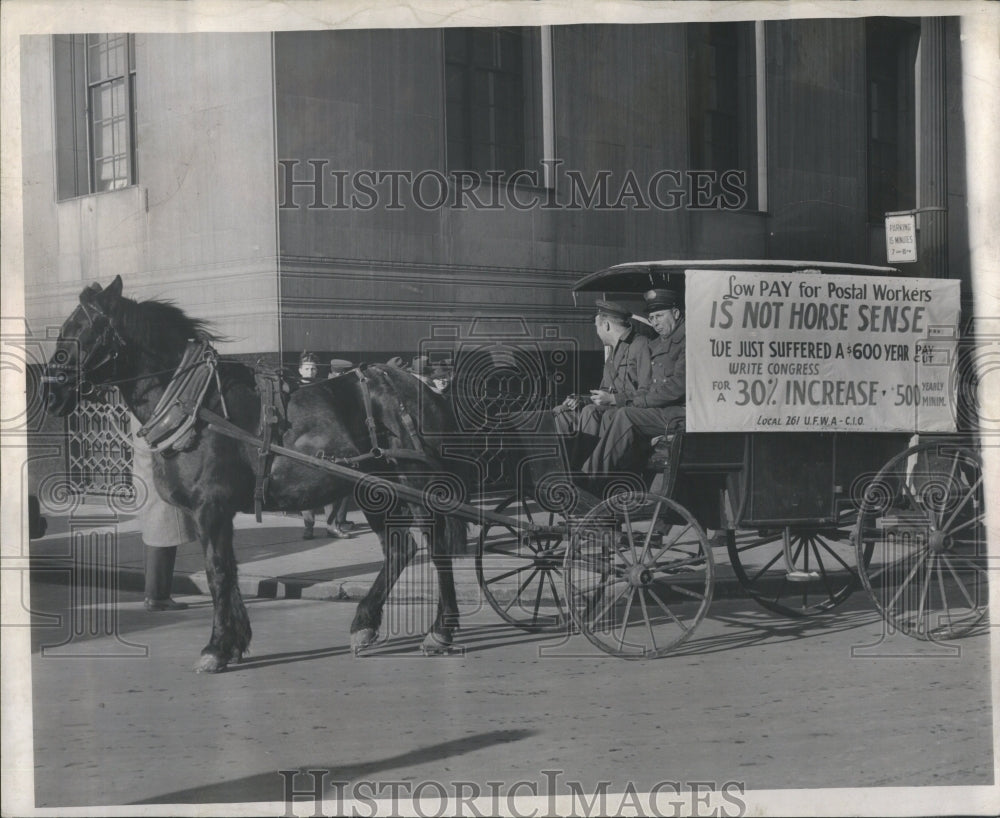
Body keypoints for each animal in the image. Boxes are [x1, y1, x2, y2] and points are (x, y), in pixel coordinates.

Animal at [41, 278, 470, 672]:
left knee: (436, 547)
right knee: (400, 549)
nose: (50, 392)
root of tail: (424, 390)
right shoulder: (219, 512)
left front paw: (216, 647)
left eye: (76, 331)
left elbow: (217, 572)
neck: (198, 406)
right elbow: (228, 571)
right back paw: (364, 623)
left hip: (415, 483)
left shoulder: (210, 508)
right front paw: (234, 641)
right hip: (374, 491)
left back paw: (440, 631)